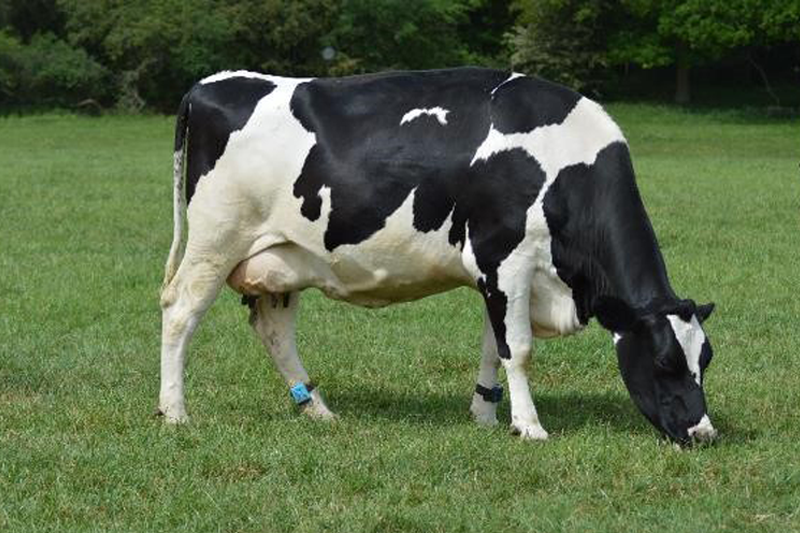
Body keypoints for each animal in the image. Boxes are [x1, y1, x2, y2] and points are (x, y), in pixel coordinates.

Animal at [157, 67, 717, 445]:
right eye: (665, 360)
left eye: (705, 359)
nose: (705, 433)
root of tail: (211, 84)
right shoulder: (506, 258)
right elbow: (519, 348)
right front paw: (530, 426)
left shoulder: (497, 275)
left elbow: (494, 345)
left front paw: (486, 415)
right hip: (214, 241)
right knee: (180, 311)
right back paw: (175, 411)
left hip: (282, 257)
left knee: (273, 330)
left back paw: (317, 409)